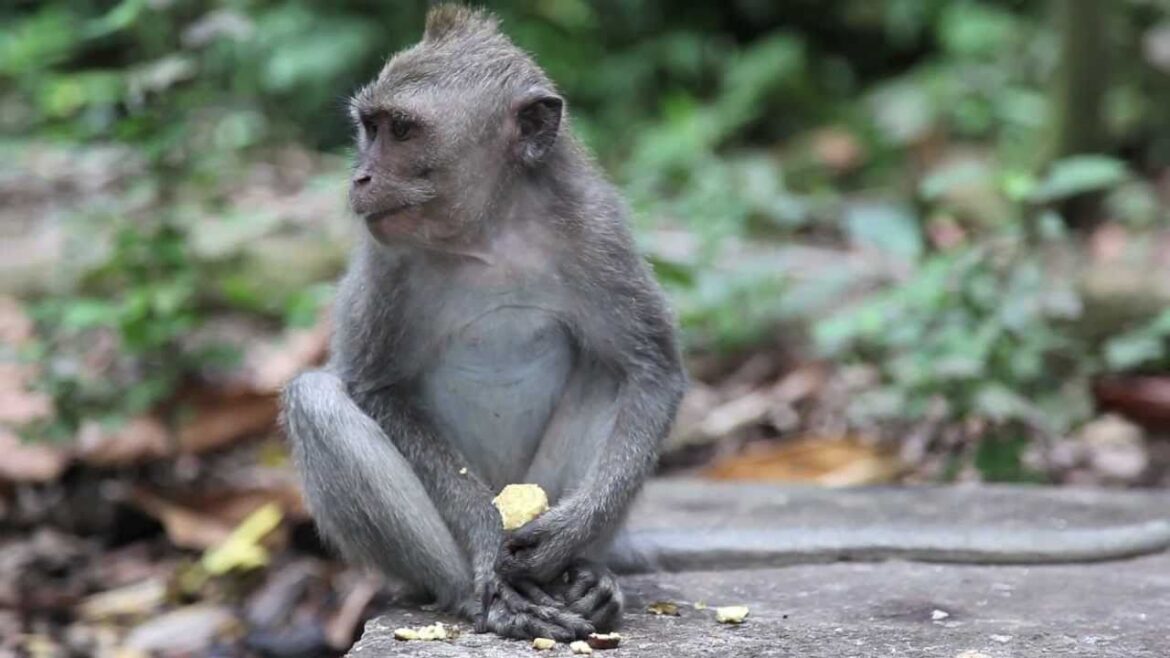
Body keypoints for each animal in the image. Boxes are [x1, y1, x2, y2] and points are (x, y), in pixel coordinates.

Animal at [282, 3, 1170, 643]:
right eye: (370, 126)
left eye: (400, 129)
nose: (360, 179)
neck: (490, 232)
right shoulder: (386, 259)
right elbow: (376, 387)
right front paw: (485, 542)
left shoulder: (596, 228)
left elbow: (651, 366)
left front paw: (567, 538)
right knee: (318, 400)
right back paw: (483, 594)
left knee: (609, 367)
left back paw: (584, 573)